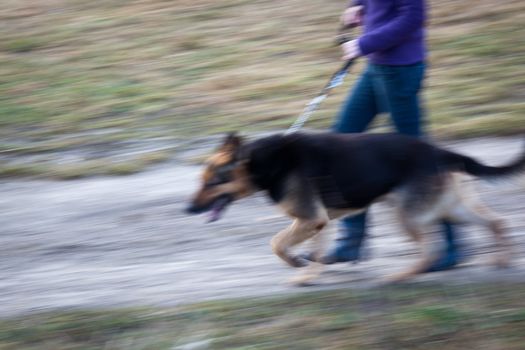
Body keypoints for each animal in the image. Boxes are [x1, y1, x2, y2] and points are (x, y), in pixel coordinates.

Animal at [186, 132, 520, 284]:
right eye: (201, 181)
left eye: (212, 182)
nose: (187, 210)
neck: (261, 164)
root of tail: (440, 152)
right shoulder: (316, 221)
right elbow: (298, 247)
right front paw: (307, 269)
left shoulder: (310, 219)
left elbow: (277, 243)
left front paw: (300, 270)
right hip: (452, 207)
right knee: (498, 222)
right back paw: (502, 261)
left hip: (406, 215)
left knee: (431, 251)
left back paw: (399, 277)